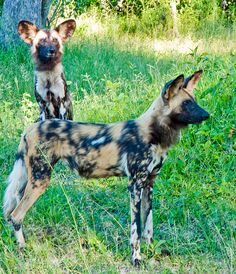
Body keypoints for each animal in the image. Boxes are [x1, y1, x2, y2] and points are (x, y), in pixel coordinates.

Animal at [4, 70, 210, 266]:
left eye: (194, 101)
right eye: (186, 104)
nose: (207, 115)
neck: (154, 134)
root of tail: (30, 128)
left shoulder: (149, 184)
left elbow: (148, 226)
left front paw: (152, 251)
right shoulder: (135, 186)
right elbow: (136, 229)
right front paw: (136, 258)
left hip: (28, 181)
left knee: (10, 212)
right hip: (40, 181)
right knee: (16, 215)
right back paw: (23, 249)